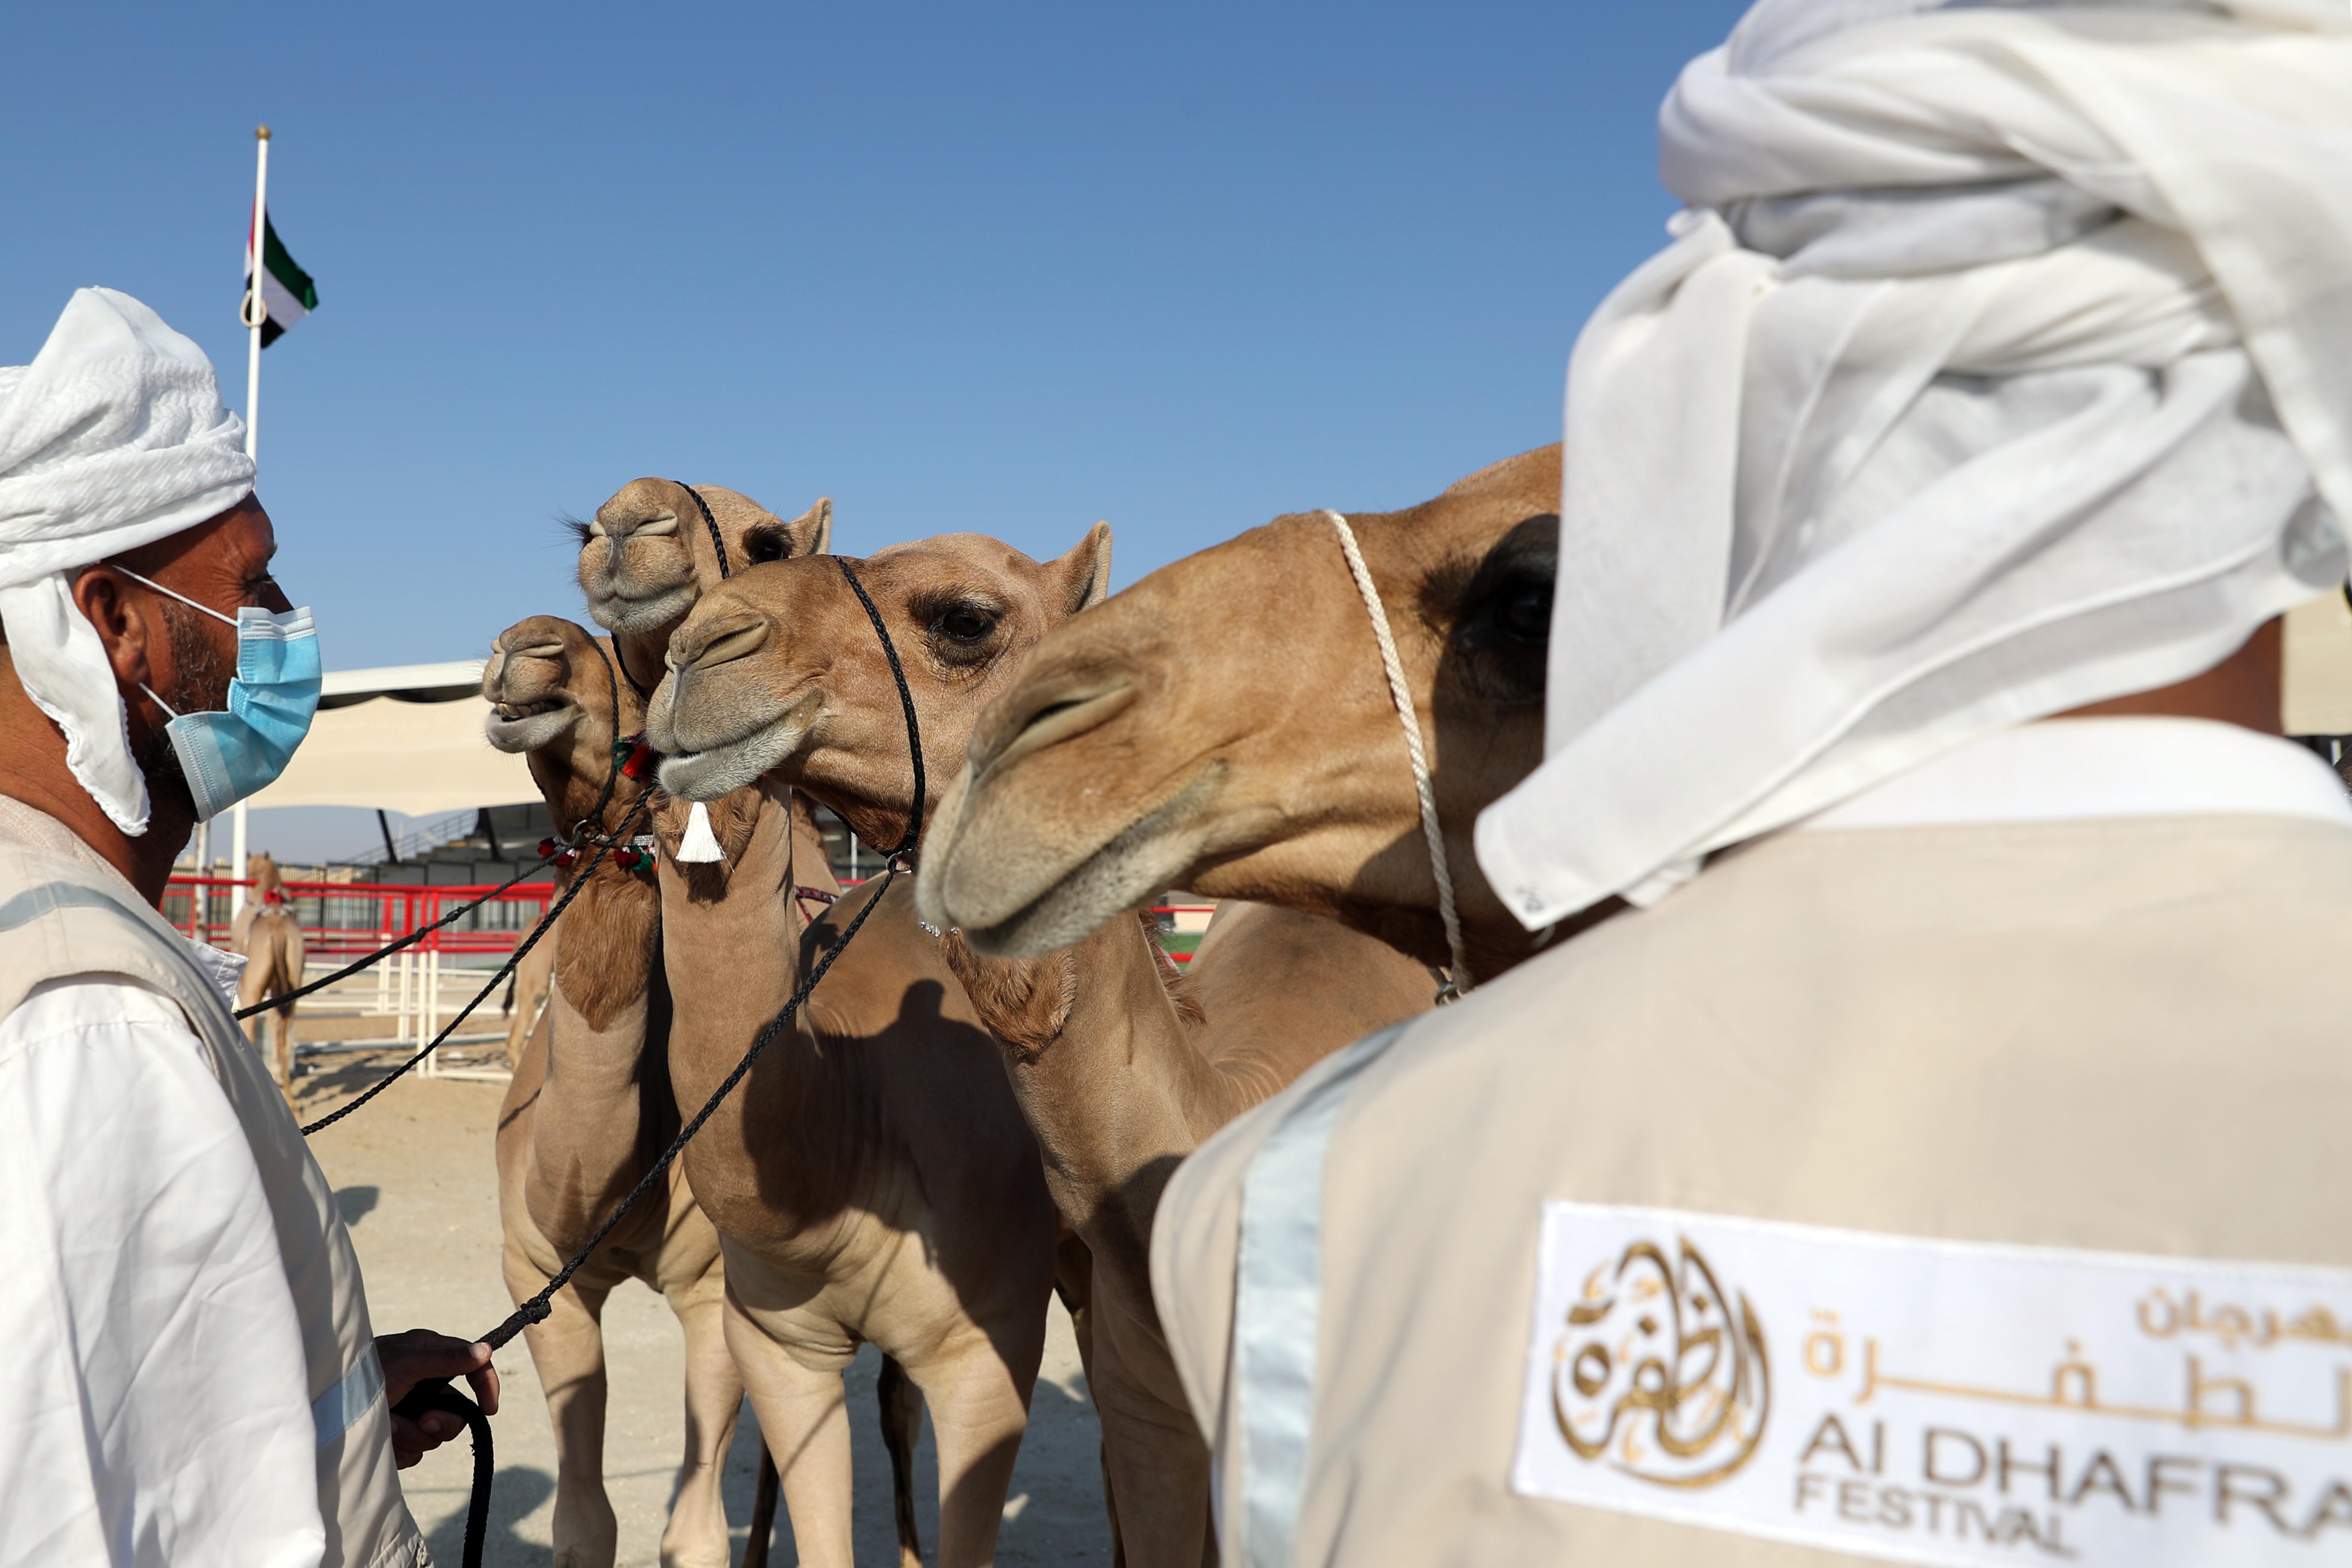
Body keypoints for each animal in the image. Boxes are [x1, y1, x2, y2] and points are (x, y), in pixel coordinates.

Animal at [230, 851, 306, 1100]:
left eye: (250, 869)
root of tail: (278, 933)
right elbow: (274, 1021)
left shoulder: (247, 985)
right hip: (294, 980)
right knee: (285, 1033)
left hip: (254, 986)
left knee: (252, 1030)